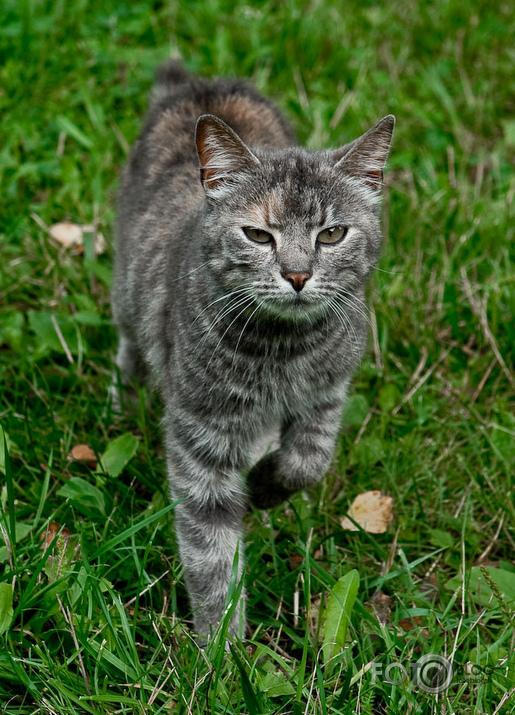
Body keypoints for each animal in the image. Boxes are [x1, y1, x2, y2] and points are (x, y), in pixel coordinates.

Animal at [113, 61, 396, 640]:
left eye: (332, 234)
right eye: (258, 235)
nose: (297, 275)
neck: (283, 354)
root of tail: (195, 83)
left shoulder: (328, 394)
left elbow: (309, 461)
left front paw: (267, 486)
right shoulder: (201, 437)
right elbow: (211, 556)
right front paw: (221, 649)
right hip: (127, 295)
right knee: (128, 347)